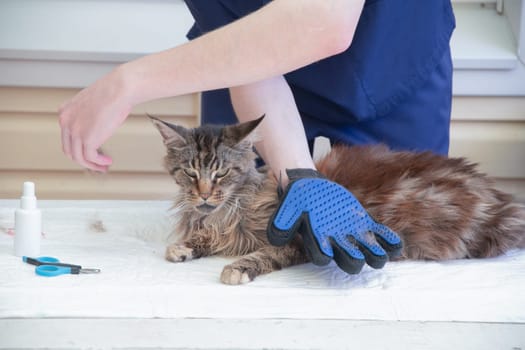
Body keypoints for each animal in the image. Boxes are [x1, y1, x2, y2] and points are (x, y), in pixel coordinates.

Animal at [149, 115, 520, 284]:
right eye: (191, 173)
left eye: (222, 173)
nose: (204, 193)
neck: (228, 211)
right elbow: (205, 238)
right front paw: (184, 246)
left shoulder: (296, 240)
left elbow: (262, 254)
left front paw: (238, 268)